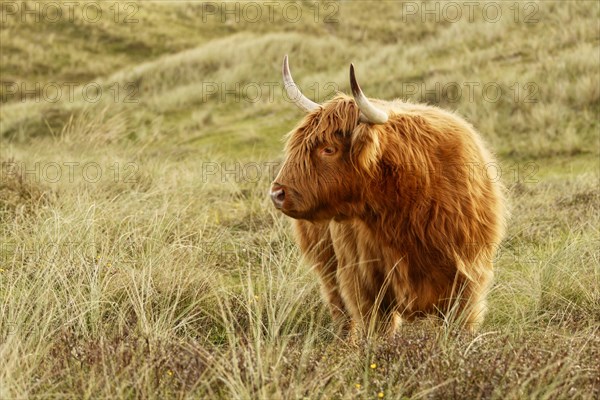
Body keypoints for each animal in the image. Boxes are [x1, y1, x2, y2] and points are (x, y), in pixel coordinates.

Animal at [272, 55, 506, 338]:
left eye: (328, 149)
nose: (277, 193)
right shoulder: (365, 282)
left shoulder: (467, 277)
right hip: (326, 264)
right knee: (339, 308)